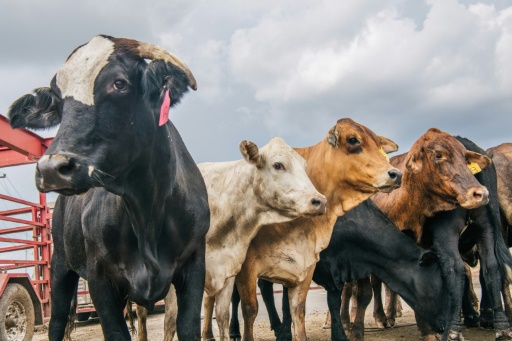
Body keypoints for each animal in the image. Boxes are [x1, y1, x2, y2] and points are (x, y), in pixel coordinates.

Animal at [7, 35, 210, 340]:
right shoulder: (100, 278)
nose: (51, 168)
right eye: (57, 99)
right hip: (60, 267)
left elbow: (185, 327)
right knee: (56, 322)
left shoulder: (194, 266)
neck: (147, 210)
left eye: (120, 83)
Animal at [136, 136, 326, 340]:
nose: (320, 201)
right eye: (278, 165)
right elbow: (171, 321)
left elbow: (222, 317)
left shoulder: (227, 272)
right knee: (141, 312)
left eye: (304, 166)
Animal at [230, 117, 402, 340]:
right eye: (353, 140)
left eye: (379, 145)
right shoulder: (247, 266)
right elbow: (250, 309)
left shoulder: (307, 264)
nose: (396, 174)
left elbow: (299, 309)